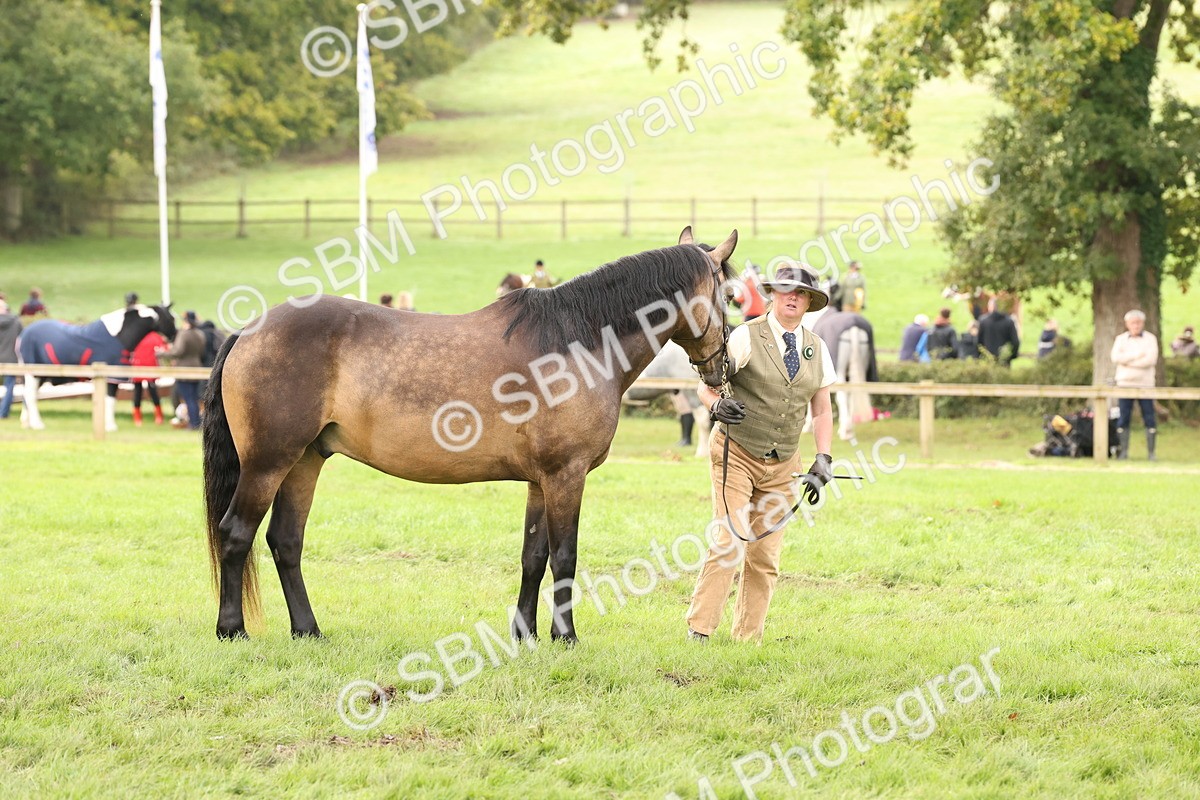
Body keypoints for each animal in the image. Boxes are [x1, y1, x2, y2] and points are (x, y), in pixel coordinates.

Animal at [19, 305, 177, 431]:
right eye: (171, 318)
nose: (175, 336)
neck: (119, 335)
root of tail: (24, 334)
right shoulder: (111, 378)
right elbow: (110, 401)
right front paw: (111, 426)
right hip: (34, 374)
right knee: (30, 396)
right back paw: (37, 424)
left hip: (40, 376)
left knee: (28, 396)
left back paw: (27, 424)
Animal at [203, 227, 738, 642]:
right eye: (730, 296)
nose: (721, 368)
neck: (577, 343)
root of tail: (249, 329)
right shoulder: (567, 475)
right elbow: (564, 557)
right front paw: (565, 636)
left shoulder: (540, 480)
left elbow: (533, 556)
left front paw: (524, 634)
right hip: (268, 462)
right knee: (236, 533)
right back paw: (232, 629)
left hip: (305, 462)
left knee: (285, 541)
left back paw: (308, 630)